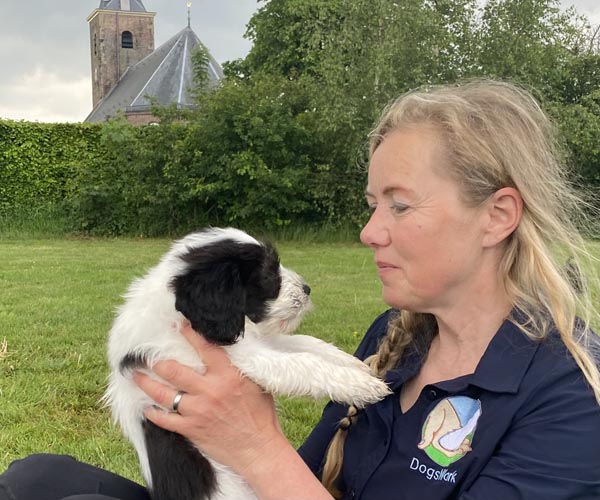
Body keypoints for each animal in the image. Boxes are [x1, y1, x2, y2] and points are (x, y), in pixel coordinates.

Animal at [104, 227, 390, 500]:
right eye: (267, 274)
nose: (307, 288)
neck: (177, 315)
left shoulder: (257, 341)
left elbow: (306, 342)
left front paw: (356, 365)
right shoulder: (243, 356)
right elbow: (301, 362)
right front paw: (362, 385)